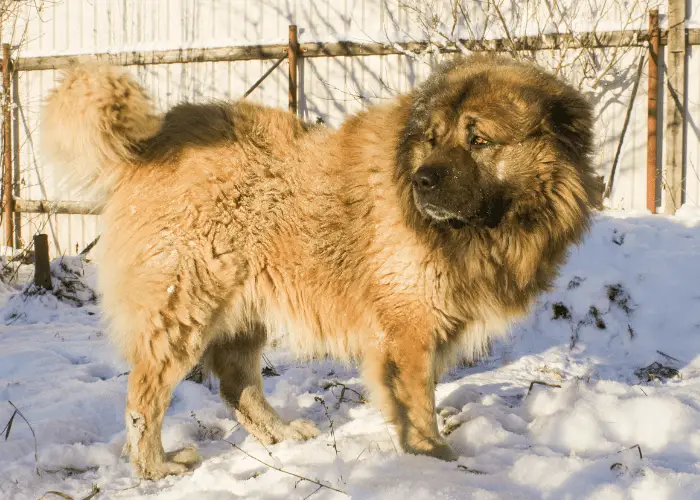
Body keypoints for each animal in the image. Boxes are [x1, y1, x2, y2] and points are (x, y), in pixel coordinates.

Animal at [43, 55, 600, 480]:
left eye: (479, 140)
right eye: (433, 138)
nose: (421, 181)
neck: (482, 232)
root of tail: (153, 141)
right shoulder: (407, 329)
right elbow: (417, 404)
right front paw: (436, 463)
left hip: (243, 313)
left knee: (238, 387)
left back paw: (284, 437)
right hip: (182, 310)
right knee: (145, 399)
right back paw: (156, 467)